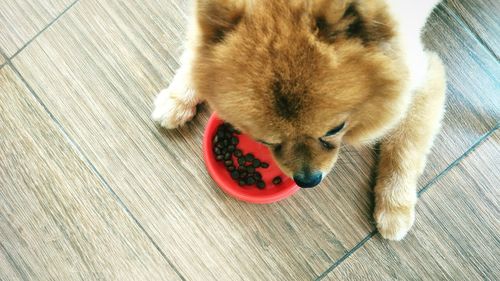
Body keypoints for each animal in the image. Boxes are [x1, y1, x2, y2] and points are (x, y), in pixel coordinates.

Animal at [151, 0, 446, 241]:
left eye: (336, 129)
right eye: (264, 140)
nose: (308, 180)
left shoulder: (423, 77)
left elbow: (404, 147)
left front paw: (395, 207)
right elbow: (198, 52)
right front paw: (178, 97)